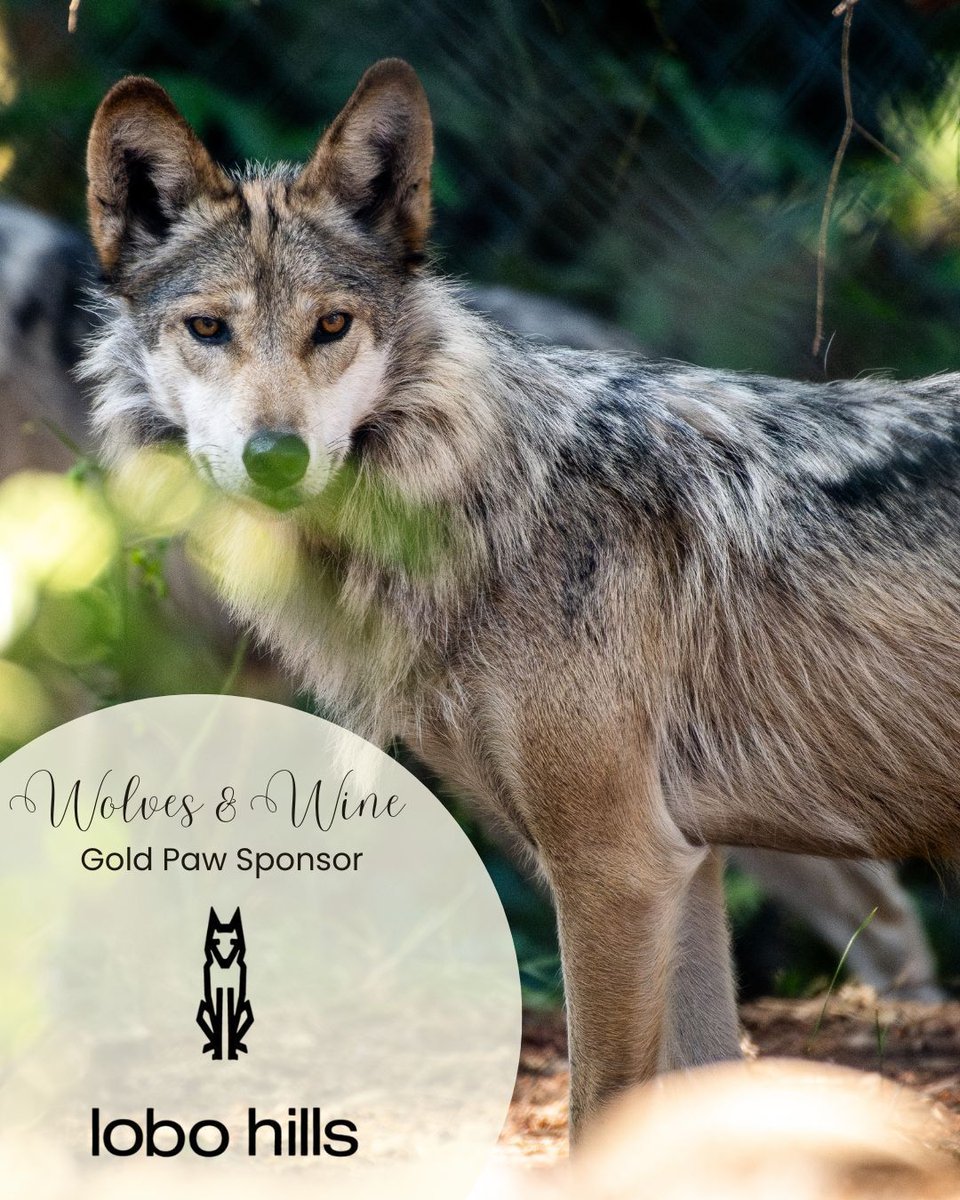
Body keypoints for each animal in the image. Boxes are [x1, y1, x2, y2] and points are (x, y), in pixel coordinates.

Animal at [81, 60, 960, 1136]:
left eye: (331, 327)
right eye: (209, 329)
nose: (276, 459)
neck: (491, 504)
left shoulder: (617, 871)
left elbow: (593, 1121)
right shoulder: (689, 866)